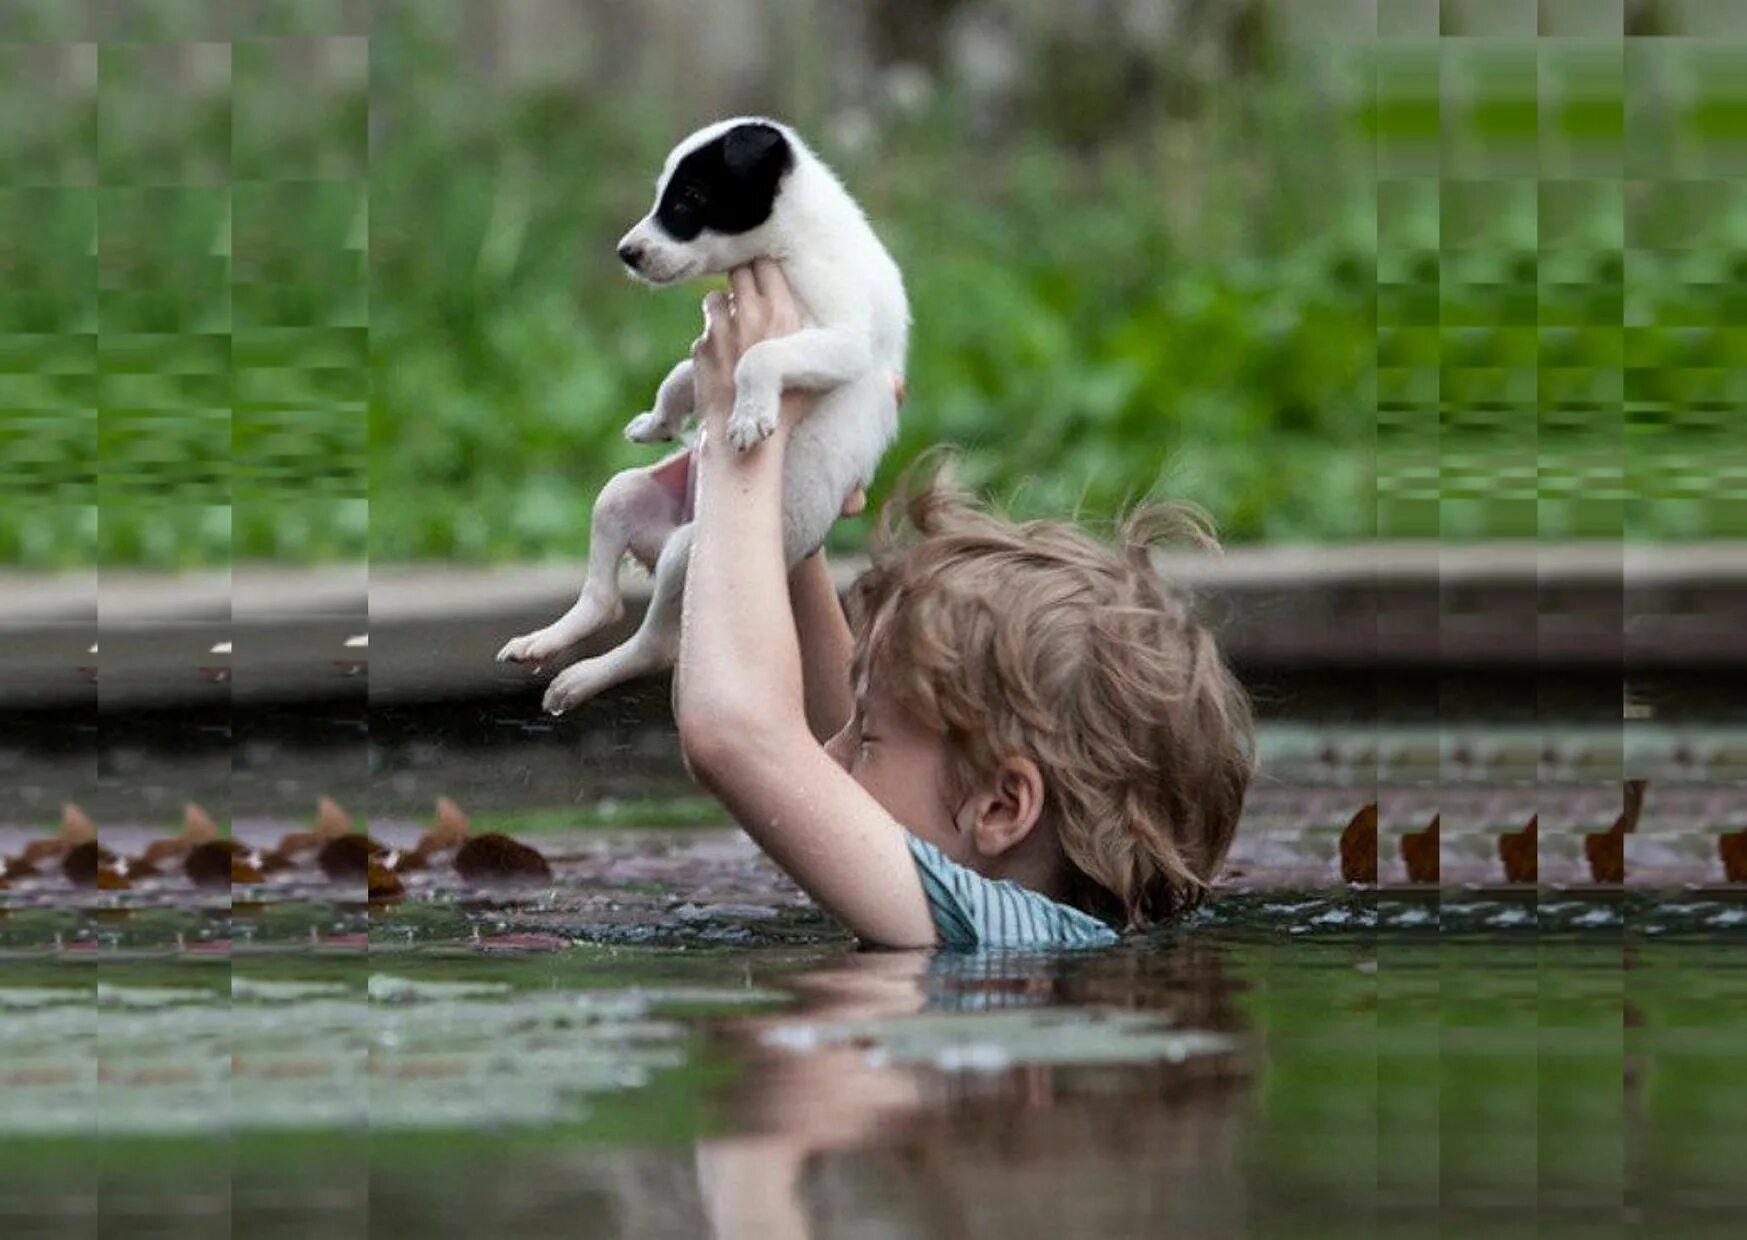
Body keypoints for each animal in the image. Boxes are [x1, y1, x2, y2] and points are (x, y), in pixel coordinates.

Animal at [499, 118, 908, 719]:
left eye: (690, 198)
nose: (626, 252)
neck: (795, 238)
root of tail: (660, 541)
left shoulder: (841, 338)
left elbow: (758, 356)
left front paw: (749, 417)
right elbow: (682, 373)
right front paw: (658, 421)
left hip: (685, 556)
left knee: (655, 645)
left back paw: (582, 678)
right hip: (623, 497)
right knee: (602, 597)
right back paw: (544, 641)